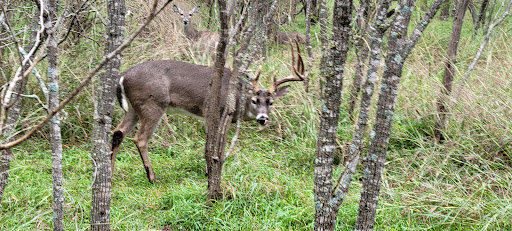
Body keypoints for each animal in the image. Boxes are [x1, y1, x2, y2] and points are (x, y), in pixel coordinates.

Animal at [111, 42, 304, 183]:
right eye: (254, 100)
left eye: (271, 102)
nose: (263, 118)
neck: (236, 96)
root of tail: (123, 75)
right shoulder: (212, 111)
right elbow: (212, 145)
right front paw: (209, 172)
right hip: (153, 103)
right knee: (140, 138)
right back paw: (152, 177)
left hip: (133, 109)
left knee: (118, 132)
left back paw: (111, 173)